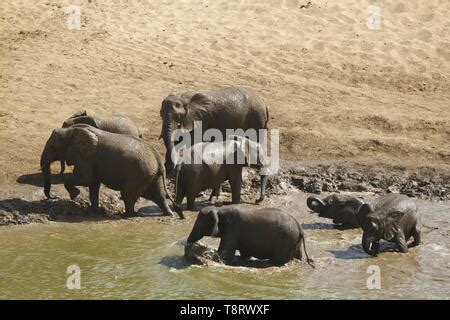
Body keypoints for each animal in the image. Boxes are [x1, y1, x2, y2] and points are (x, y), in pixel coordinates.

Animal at [40, 124, 185, 219]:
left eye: (53, 147)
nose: (53, 196)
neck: (70, 131)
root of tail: (159, 160)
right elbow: (93, 184)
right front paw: (93, 211)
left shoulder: (86, 156)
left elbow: (84, 179)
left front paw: (74, 195)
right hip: (151, 174)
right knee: (157, 195)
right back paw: (170, 214)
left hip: (140, 173)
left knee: (128, 194)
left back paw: (127, 215)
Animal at [185, 206, 314, 266]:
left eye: (199, 224)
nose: (189, 245)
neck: (219, 209)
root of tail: (299, 227)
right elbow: (244, 254)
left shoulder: (231, 228)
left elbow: (224, 253)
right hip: (294, 241)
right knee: (298, 255)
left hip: (286, 240)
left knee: (279, 260)